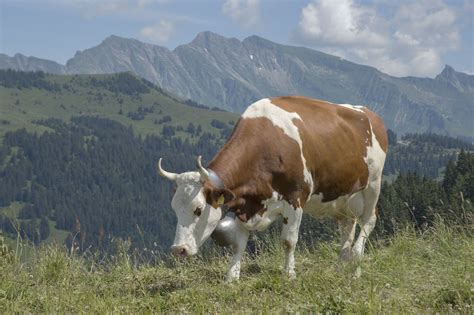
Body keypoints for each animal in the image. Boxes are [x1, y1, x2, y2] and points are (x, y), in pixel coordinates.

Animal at [157, 96, 386, 282]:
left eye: (198, 209)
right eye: (174, 209)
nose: (178, 249)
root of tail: (369, 113)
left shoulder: (296, 197)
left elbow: (288, 241)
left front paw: (289, 274)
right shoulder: (244, 203)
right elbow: (239, 243)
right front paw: (232, 276)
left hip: (373, 184)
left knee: (369, 220)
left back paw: (356, 263)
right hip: (344, 197)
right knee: (347, 226)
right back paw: (342, 265)